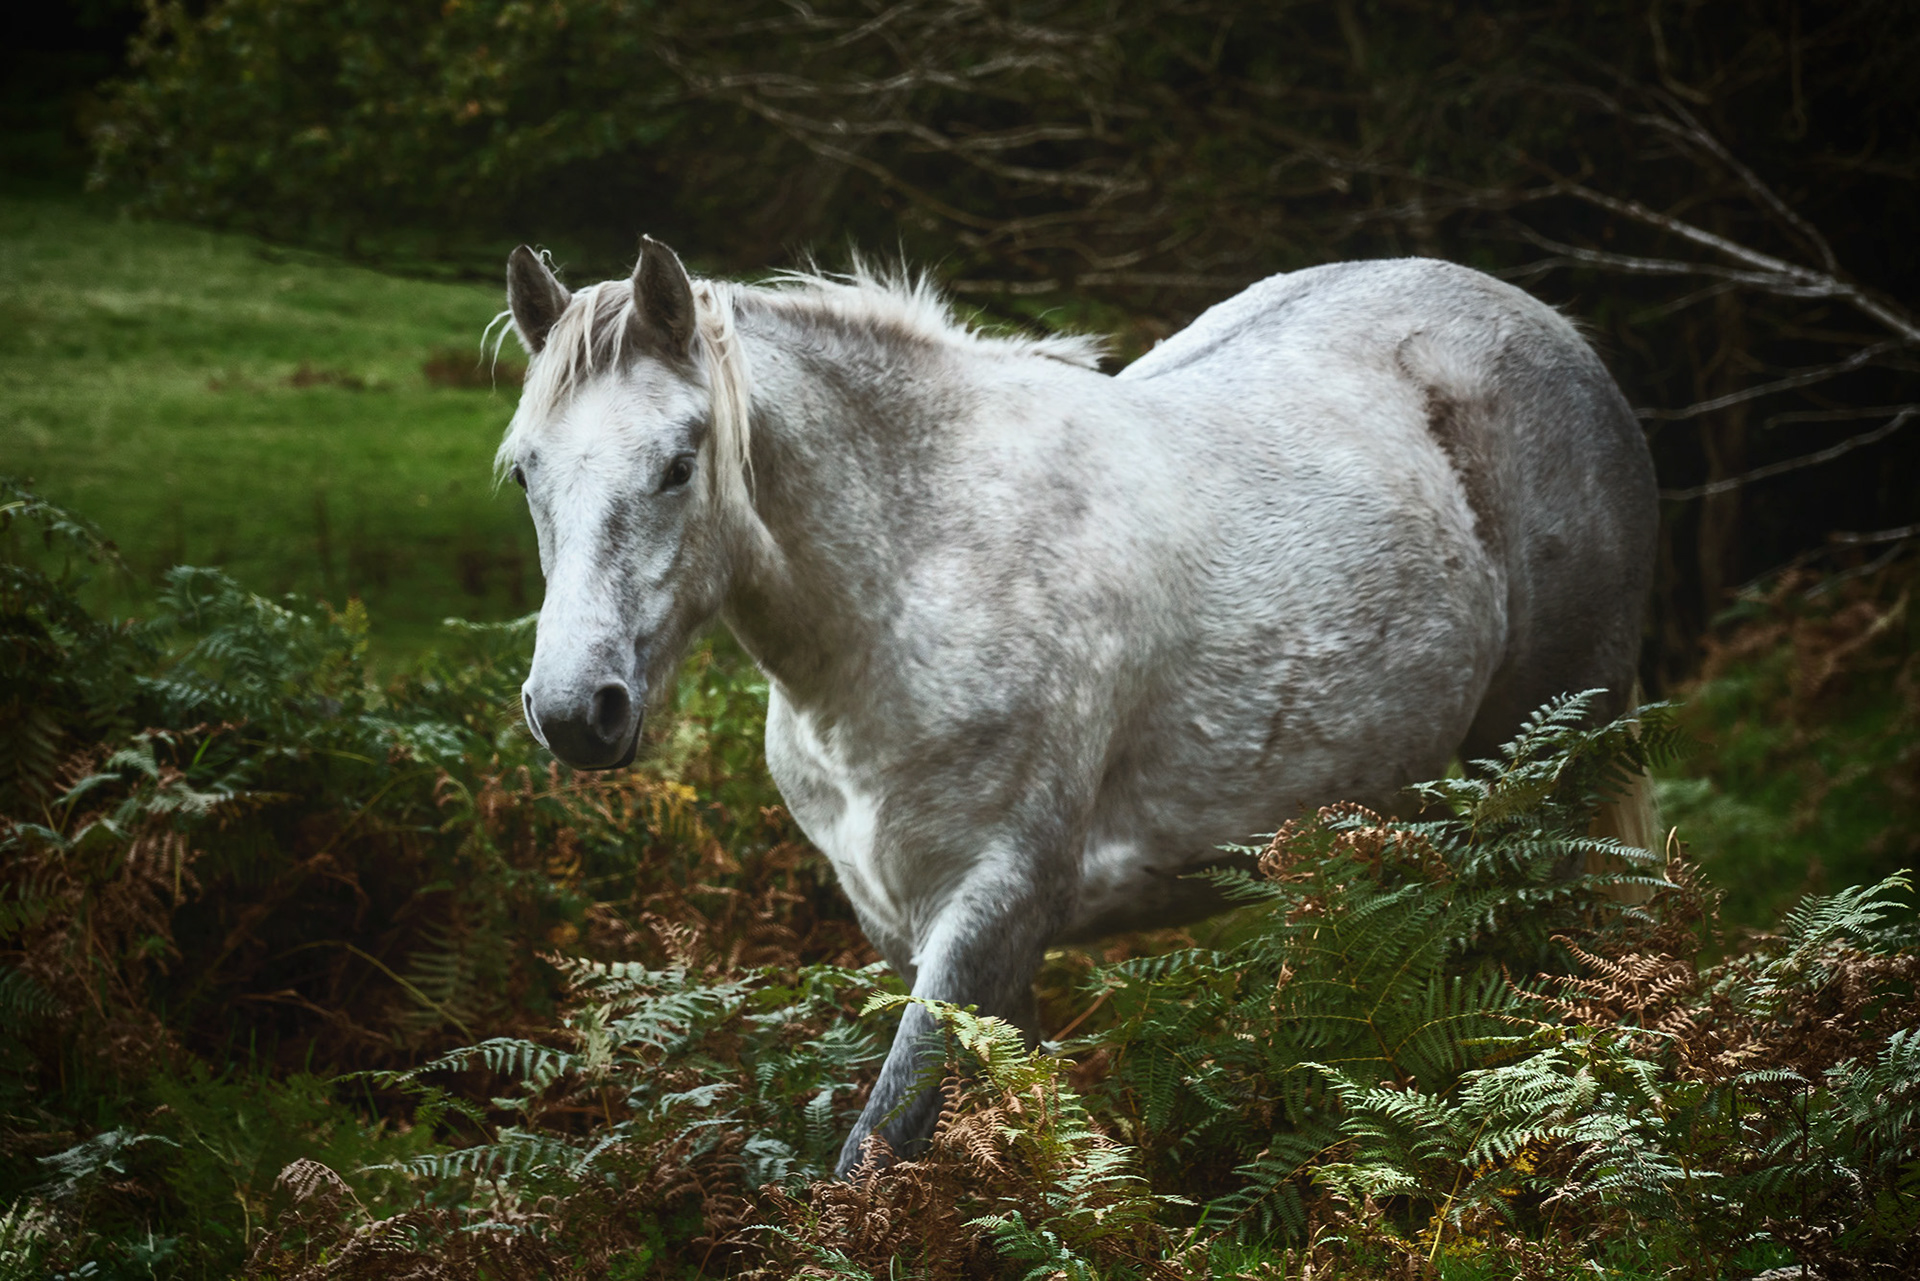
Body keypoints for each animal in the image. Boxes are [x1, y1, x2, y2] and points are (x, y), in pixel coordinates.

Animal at [494, 238, 1658, 1176]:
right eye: (524, 476)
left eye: (678, 465)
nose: (575, 710)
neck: (924, 566)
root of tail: (1561, 336)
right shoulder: (912, 931)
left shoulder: (994, 910)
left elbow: (877, 1153)